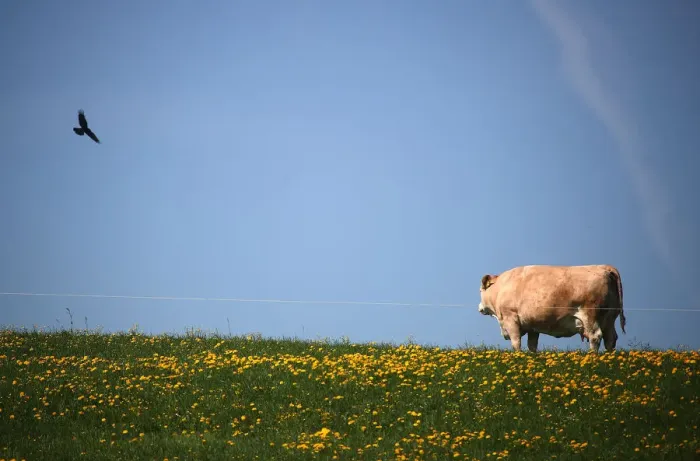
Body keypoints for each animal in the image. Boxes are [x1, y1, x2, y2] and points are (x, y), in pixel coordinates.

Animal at [477, 265, 626, 353]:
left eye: (480, 290)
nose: (479, 307)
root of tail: (603, 267)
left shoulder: (510, 319)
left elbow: (516, 342)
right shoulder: (532, 325)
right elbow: (532, 345)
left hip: (591, 316)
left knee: (595, 336)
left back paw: (592, 356)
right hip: (609, 319)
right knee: (610, 338)